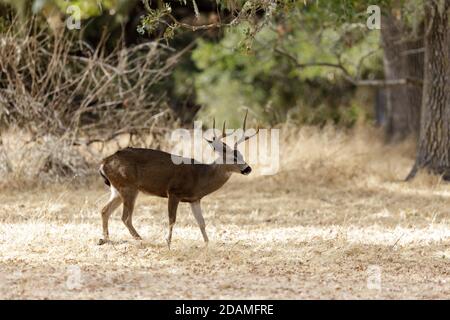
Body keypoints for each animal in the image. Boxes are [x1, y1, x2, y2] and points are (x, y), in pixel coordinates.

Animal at [98, 110, 260, 248]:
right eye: (233, 158)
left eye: (242, 155)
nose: (248, 169)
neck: (201, 176)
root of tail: (104, 163)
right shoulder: (173, 191)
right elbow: (172, 220)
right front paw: (168, 242)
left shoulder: (195, 199)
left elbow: (201, 222)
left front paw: (208, 244)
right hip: (128, 186)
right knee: (125, 217)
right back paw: (140, 239)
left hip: (118, 188)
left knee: (105, 210)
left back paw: (106, 239)